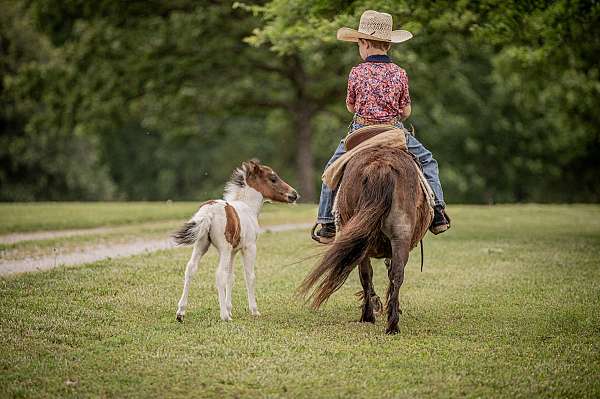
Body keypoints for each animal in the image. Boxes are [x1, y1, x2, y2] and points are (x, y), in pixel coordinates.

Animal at [172, 160, 296, 322]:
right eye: (273, 178)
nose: (294, 194)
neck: (248, 207)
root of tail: (209, 211)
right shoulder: (249, 247)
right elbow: (249, 276)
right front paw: (253, 310)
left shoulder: (233, 251)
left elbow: (231, 277)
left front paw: (230, 308)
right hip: (223, 248)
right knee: (219, 274)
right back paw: (224, 316)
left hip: (201, 244)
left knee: (191, 268)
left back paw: (181, 312)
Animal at [300, 145, 432, 334]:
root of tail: (381, 166)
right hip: (396, 239)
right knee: (391, 274)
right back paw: (388, 322)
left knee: (377, 275)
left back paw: (379, 318)